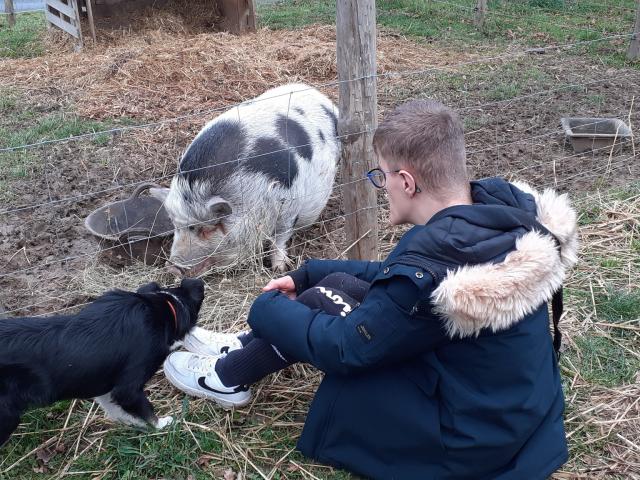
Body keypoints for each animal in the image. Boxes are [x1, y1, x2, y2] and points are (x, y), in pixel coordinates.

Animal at [0, 278, 205, 446]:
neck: (162, 308)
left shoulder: (103, 384)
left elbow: (112, 407)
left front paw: (129, 423)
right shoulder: (128, 388)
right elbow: (147, 411)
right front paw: (162, 425)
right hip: (7, 416)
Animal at [151, 83, 340, 274]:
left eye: (206, 229)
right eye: (175, 225)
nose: (173, 268)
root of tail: (317, 93)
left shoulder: (291, 204)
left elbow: (279, 238)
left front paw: (280, 268)